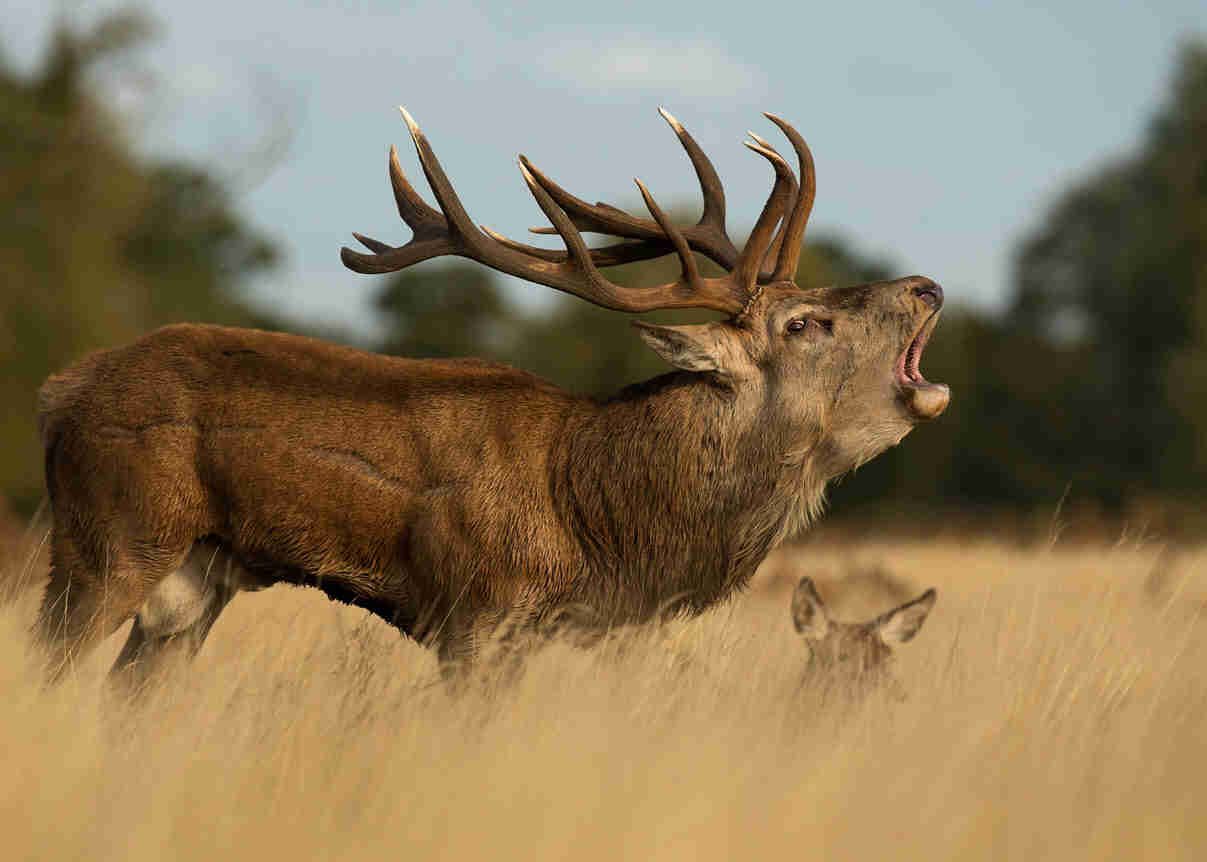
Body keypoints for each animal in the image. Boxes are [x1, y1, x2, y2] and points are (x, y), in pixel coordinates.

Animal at [34, 107, 950, 691]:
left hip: (194, 580)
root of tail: (55, 392)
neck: (597, 516)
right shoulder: (476, 616)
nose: (926, 284)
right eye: (805, 322)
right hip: (108, 539)